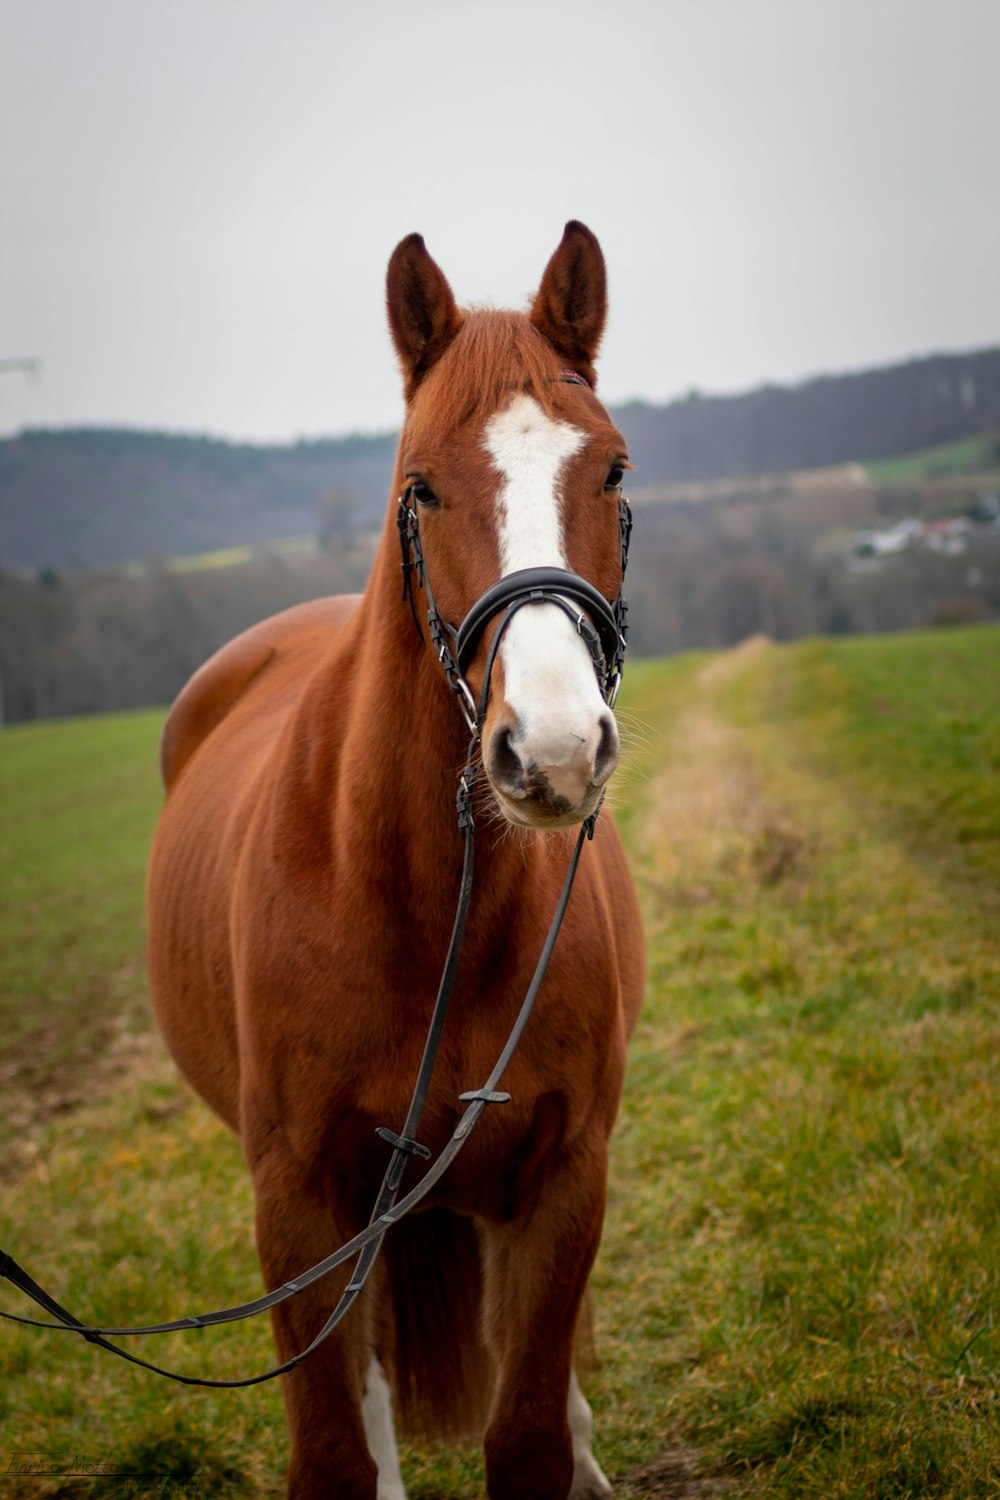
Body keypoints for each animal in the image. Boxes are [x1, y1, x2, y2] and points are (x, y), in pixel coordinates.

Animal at [149, 222, 650, 1500]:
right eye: (420, 485)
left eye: (612, 471)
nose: (554, 750)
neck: (426, 911)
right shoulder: (300, 1204)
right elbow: (336, 1443)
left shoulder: (563, 1177)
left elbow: (526, 1429)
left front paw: (567, 1448)